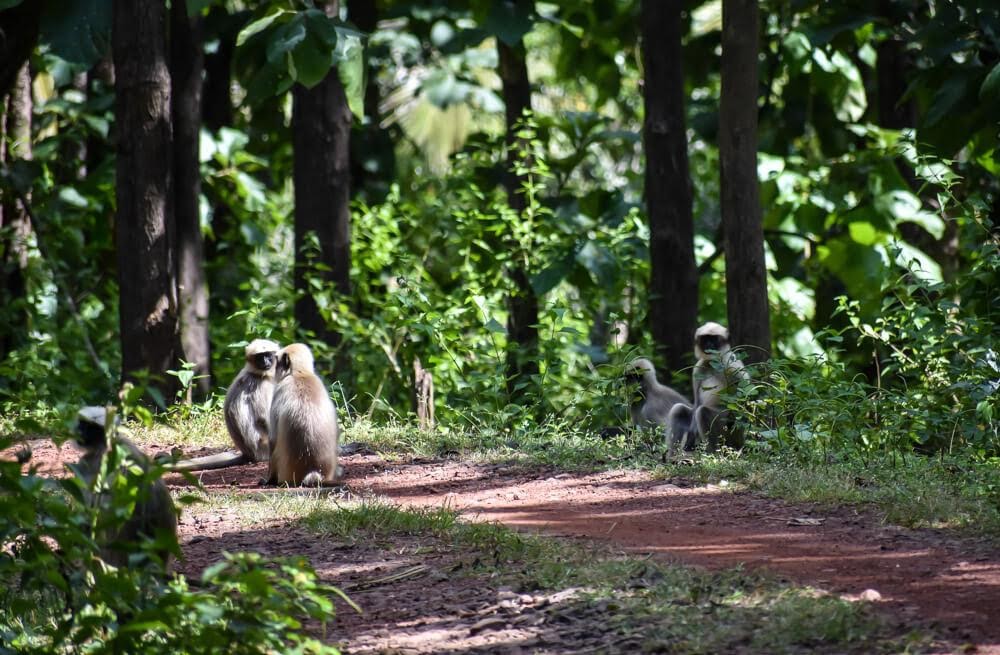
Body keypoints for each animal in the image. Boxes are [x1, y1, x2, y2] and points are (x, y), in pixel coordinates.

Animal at [166, 338, 280, 472]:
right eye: (259, 357)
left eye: (268, 355)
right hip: (265, 447)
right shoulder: (262, 386)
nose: (265, 362)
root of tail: (249, 454)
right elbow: (263, 419)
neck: (256, 374)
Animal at [668, 322, 748, 456]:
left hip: (727, 432)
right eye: (705, 339)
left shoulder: (731, 364)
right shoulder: (699, 368)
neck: (714, 363)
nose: (709, 345)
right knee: (679, 409)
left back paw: (713, 453)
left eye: (714, 339)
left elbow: (746, 394)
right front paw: (688, 443)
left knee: (703, 412)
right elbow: (696, 403)